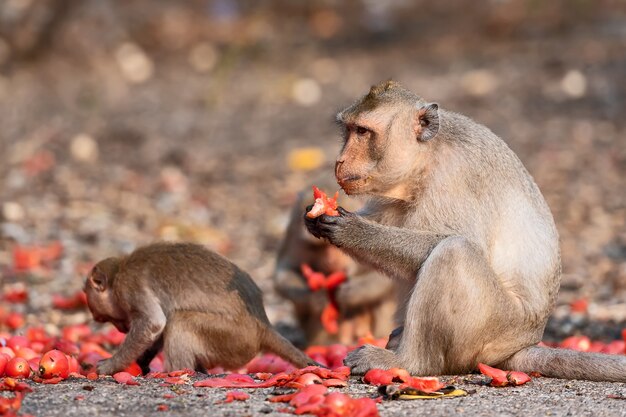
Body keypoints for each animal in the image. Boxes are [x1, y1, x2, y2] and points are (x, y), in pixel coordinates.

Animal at [85, 240, 314, 374]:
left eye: (102, 318)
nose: (122, 328)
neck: (119, 271)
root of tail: (263, 325)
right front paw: (142, 361)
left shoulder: (128, 286)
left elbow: (153, 323)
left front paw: (110, 365)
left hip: (234, 339)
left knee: (179, 320)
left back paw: (177, 372)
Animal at [272, 173, 394, 344]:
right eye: (319, 246)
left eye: (335, 244)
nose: (331, 262)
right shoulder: (294, 231)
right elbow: (285, 270)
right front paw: (315, 297)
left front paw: (353, 292)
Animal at [306, 79, 624, 382]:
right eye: (348, 130)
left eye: (362, 131)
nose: (339, 161)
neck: (426, 157)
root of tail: (523, 343)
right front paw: (316, 217)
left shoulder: (455, 177)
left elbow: (459, 241)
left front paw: (354, 231)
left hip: (493, 326)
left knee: (454, 252)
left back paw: (409, 362)